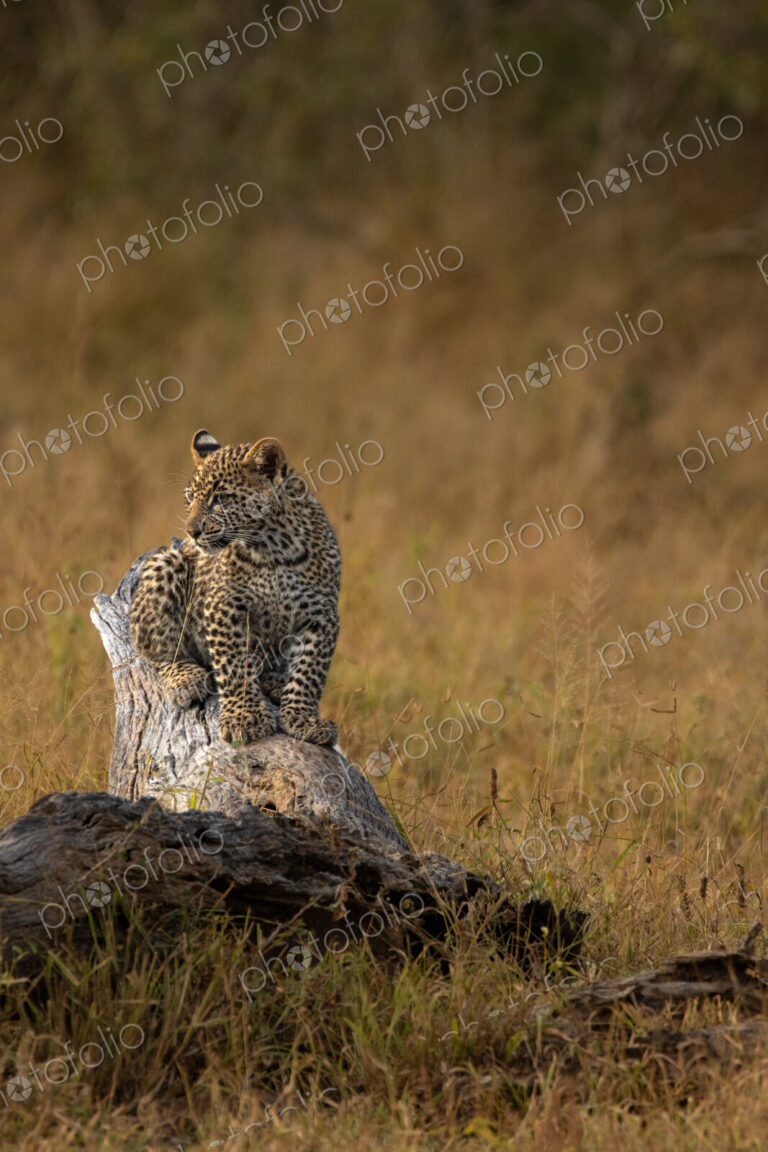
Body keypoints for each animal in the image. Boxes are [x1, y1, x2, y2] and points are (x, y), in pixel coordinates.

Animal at [129, 429, 341, 746]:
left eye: (220, 499)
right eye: (189, 498)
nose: (192, 532)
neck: (273, 548)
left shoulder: (321, 614)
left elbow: (308, 672)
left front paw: (303, 721)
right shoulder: (223, 607)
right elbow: (233, 665)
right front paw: (245, 718)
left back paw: (274, 682)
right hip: (167, 565)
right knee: (157, 649)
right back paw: (187, 678)